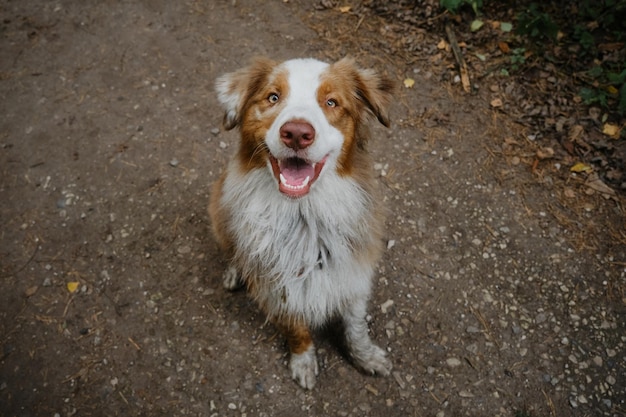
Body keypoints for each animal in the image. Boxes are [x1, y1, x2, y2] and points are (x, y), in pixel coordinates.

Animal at [212, 57, 392, 388]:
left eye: (331, 102)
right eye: (273, 97)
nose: (296, 133)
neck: (305, 218)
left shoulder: (353, 272)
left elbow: (355, 326)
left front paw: (365, 357)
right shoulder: (278, 287)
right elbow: (296, 329)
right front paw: (304, 361)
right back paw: (235, 271)